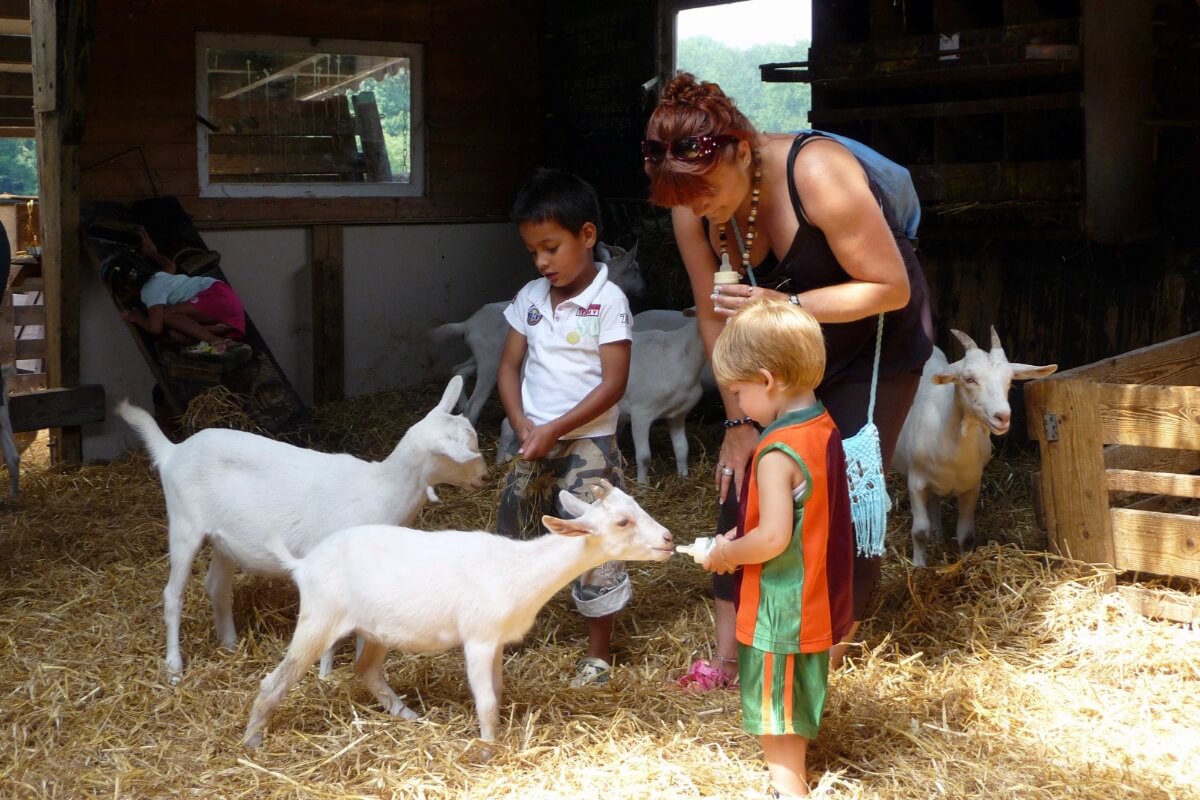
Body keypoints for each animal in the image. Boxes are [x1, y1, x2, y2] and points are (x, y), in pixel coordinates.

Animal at [429, 241, 638, 424]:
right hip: (490, 362)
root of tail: (468, 324)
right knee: (473, 403)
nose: (642, 290)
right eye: (635, 269)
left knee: (459, 369)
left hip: (479, 354)